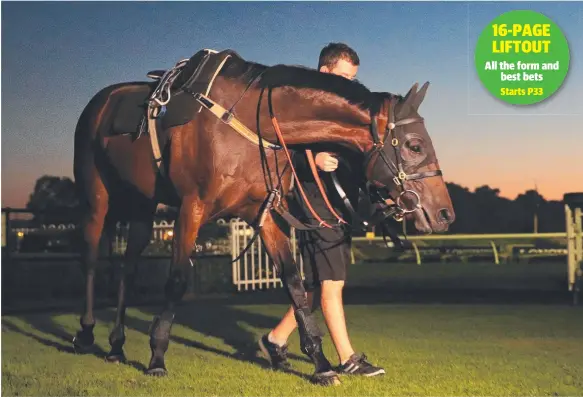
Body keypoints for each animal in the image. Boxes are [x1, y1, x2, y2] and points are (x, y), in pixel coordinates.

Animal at [72, 48, 456, 384]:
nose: (445, 213)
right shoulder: (191, 208)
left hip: (143, 204)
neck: (245, 124)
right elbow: (178, 280)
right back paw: (87, 332)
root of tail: (99, 102)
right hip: (95, 197)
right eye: (415, 145)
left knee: (128, 268)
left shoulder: (264, 212)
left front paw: (320, 363)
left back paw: (117, 344)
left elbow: (295, 283)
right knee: (89, 260)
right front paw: (156, 357)